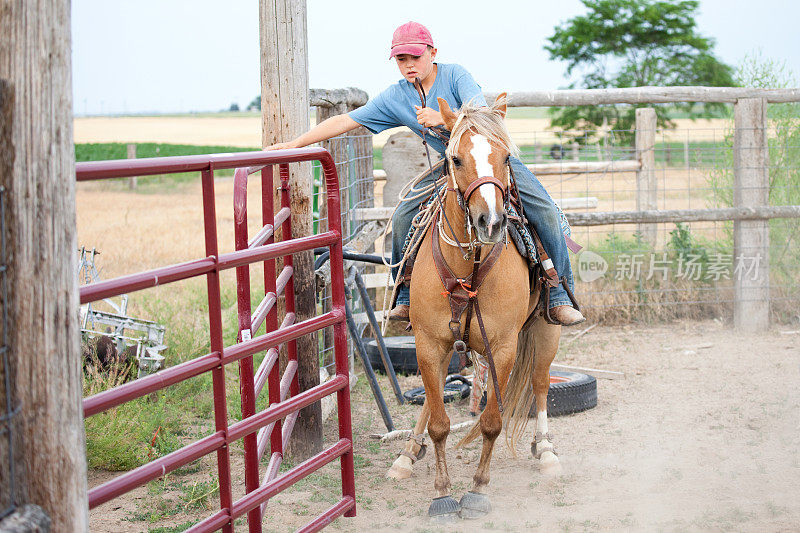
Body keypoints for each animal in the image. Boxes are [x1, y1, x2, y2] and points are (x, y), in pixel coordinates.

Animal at [388, 94, 564, 520]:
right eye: (454, 158)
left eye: (506, 156)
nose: (492, 222)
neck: (469, 265)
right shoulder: (428, 343)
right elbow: (439, 419)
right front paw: (441, 492)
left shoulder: (503, 347)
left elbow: (491, 422)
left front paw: (478, 489)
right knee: (434, 397)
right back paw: (406, 454)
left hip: (546, 329)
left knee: (540, 383)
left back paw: (546, 449)